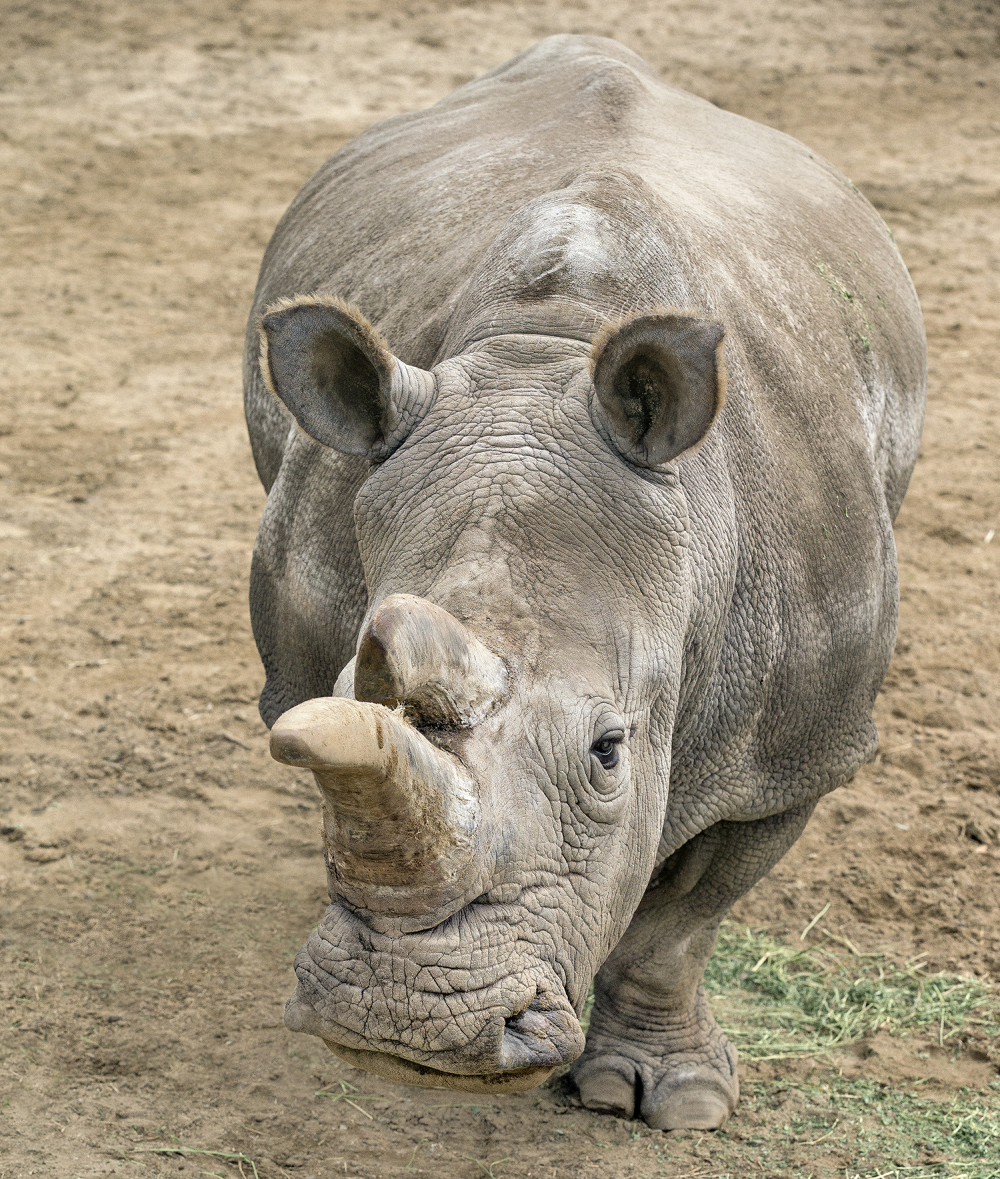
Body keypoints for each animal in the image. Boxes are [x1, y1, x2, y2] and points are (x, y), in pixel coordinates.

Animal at [240, 32, 919, 1127]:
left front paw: (668, 1100)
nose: (406, 1029)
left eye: (609, 751)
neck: (540, 354)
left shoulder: (800, 752)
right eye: (347, 685)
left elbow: (677, 926)